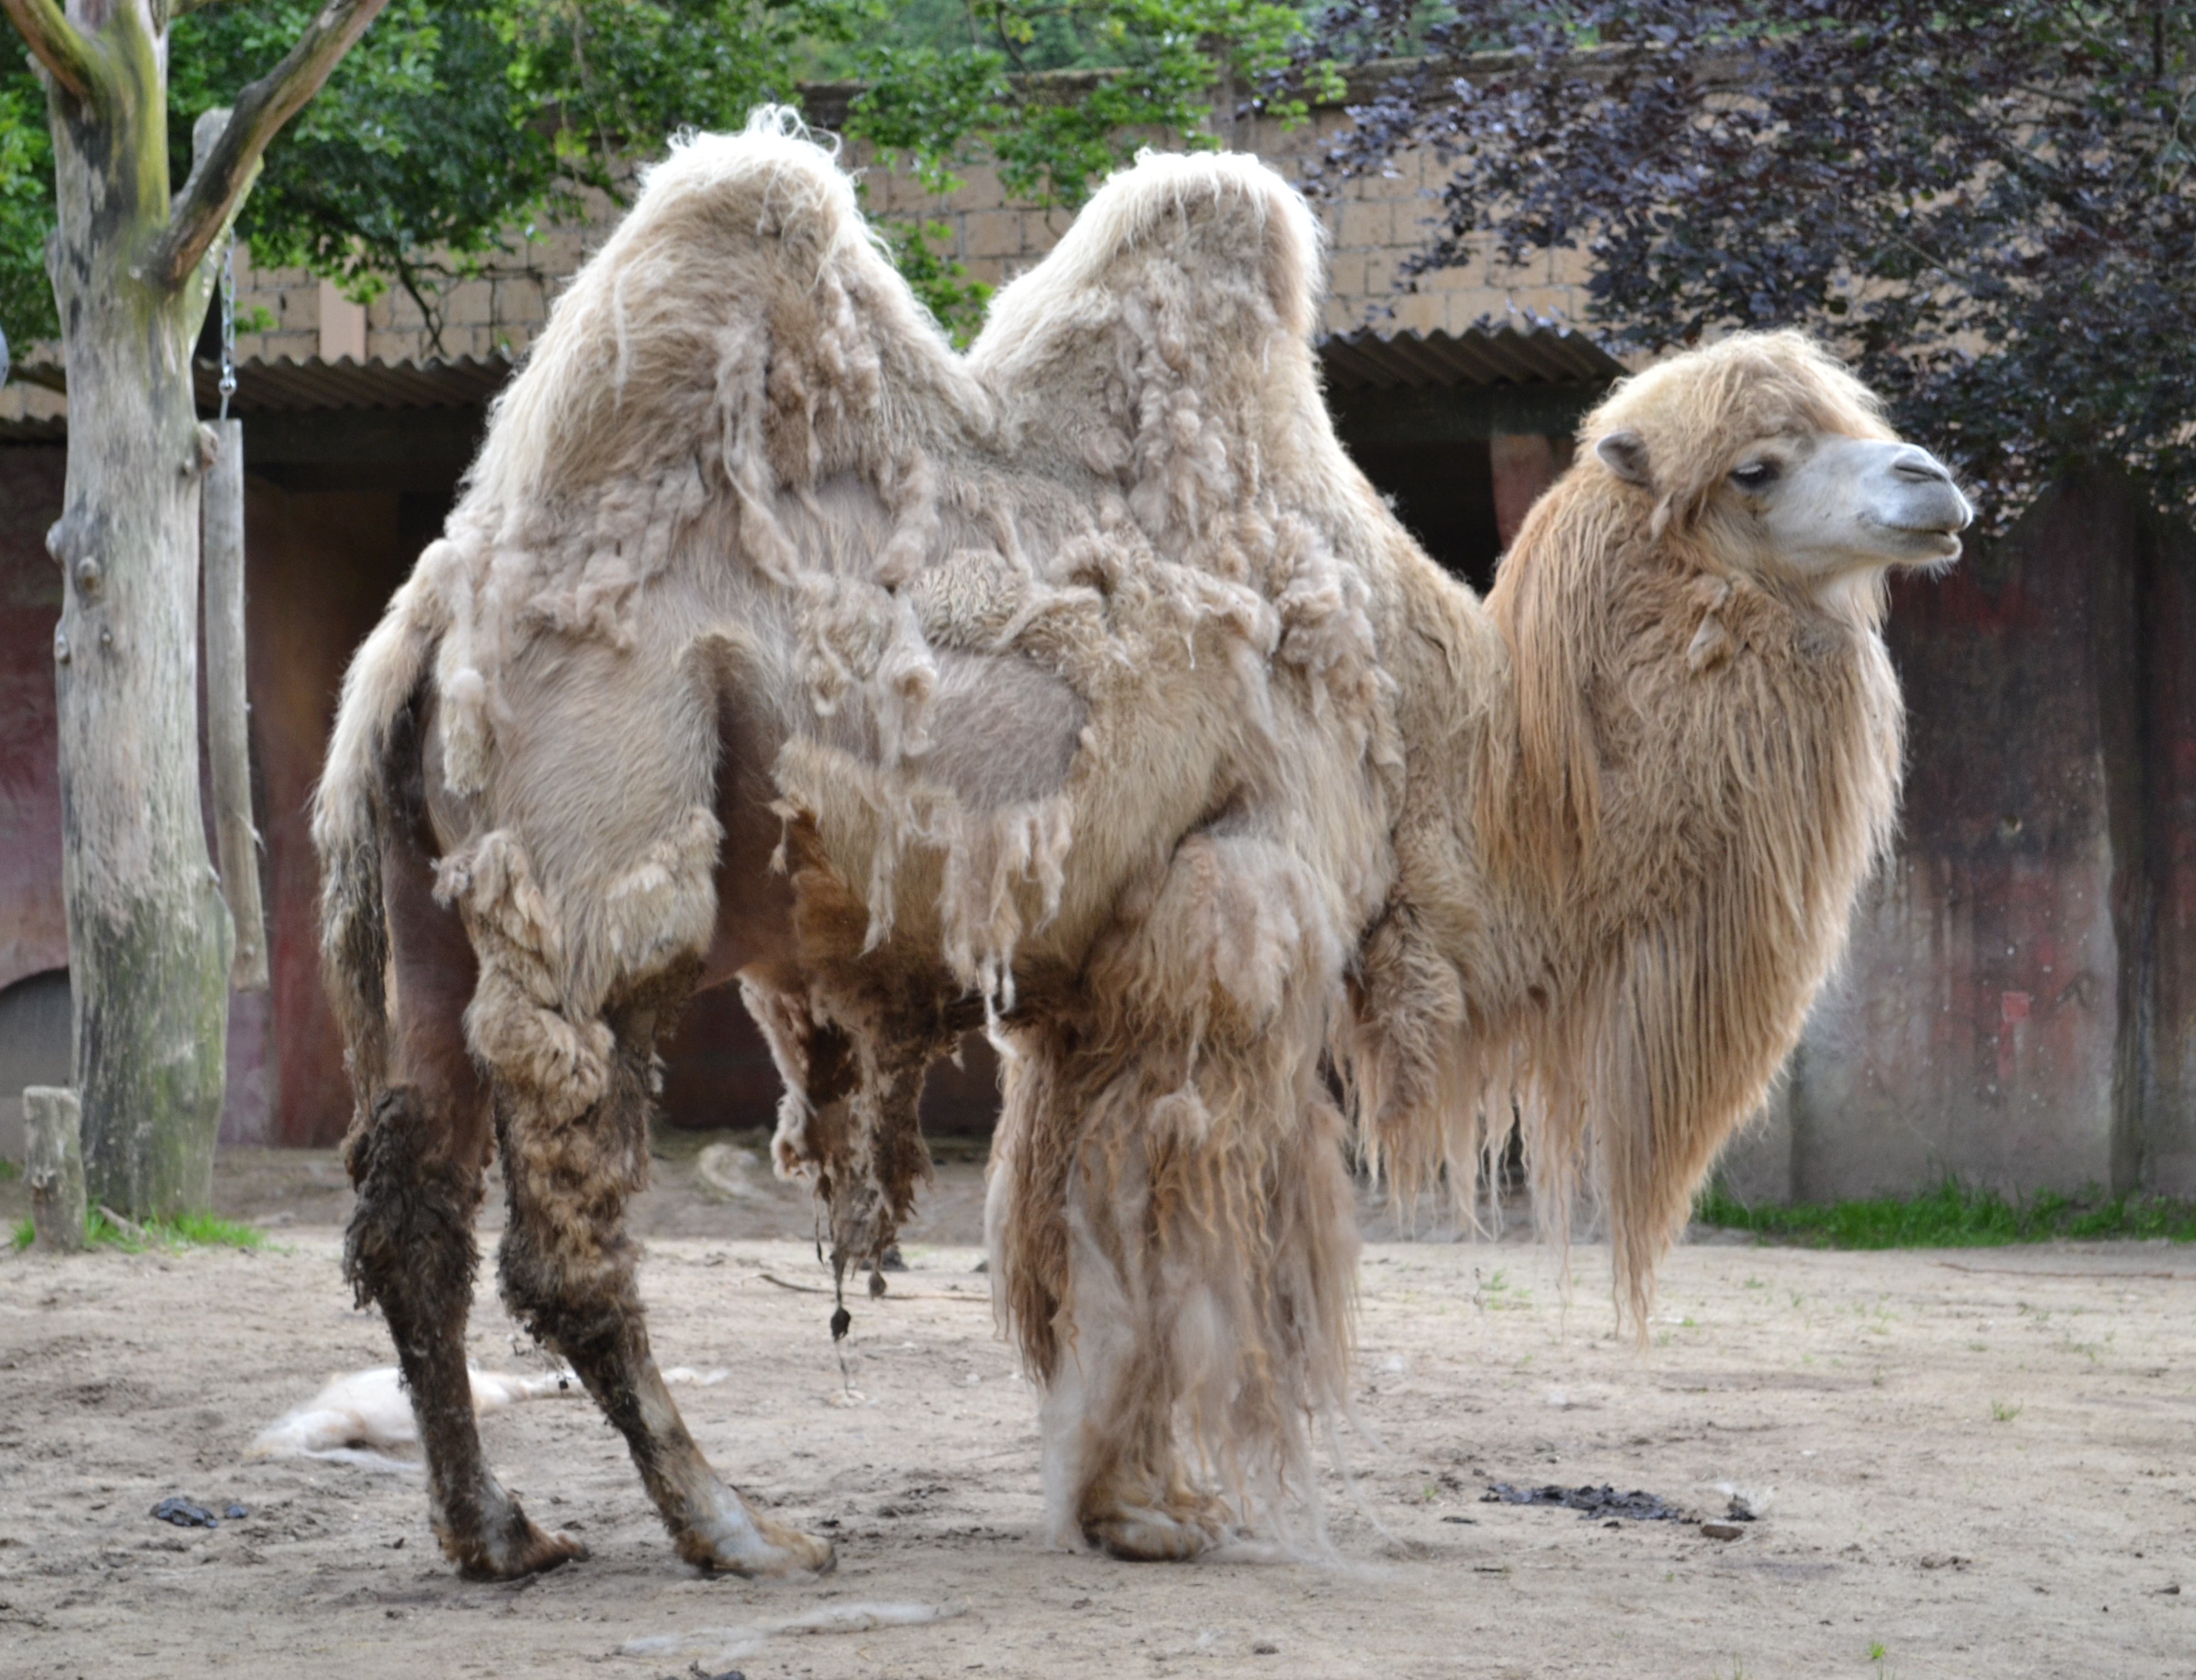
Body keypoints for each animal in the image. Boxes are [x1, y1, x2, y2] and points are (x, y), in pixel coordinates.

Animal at [312, 114, 1969, 1580]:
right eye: (1758, 466)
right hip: (598, 847)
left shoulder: (1093, 974)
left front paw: (1114, 1488)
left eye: (1855, 421)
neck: (1457, 742)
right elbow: (1169, 1211)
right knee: (566, 1229)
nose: (1934, 482)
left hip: (437, 915)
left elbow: (1062, 1225)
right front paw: (1157, 1510)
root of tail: (428, 626)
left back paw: (500, 1533)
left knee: (411, 1214)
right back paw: (737, 1530)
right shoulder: (1234, 925)